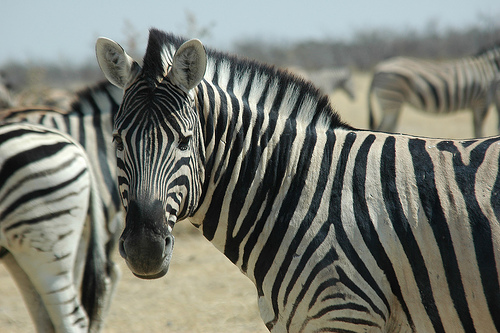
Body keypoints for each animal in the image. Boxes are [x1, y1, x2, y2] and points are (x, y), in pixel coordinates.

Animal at [368, 45, 500, 136]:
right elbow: (479, 130)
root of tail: (377, 69)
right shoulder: (482, 101)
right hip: (391, 98)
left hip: (393, 102)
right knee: (382, 128)